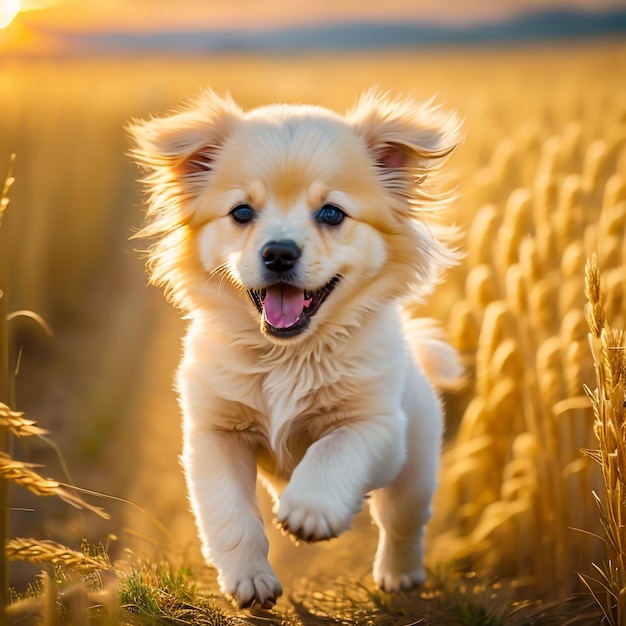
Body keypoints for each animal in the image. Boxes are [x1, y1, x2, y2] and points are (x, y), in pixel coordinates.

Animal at [128, 90, 458, 608]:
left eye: (332, 213)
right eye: (242, 212)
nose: (279, 252)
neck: (288, 357)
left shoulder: (376, 426)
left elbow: (332, 450)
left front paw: (309, 510)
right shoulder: (215, 434)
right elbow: (231, 517)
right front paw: (249, 580)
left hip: (416, 465)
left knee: (401, 523)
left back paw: (399, 574)